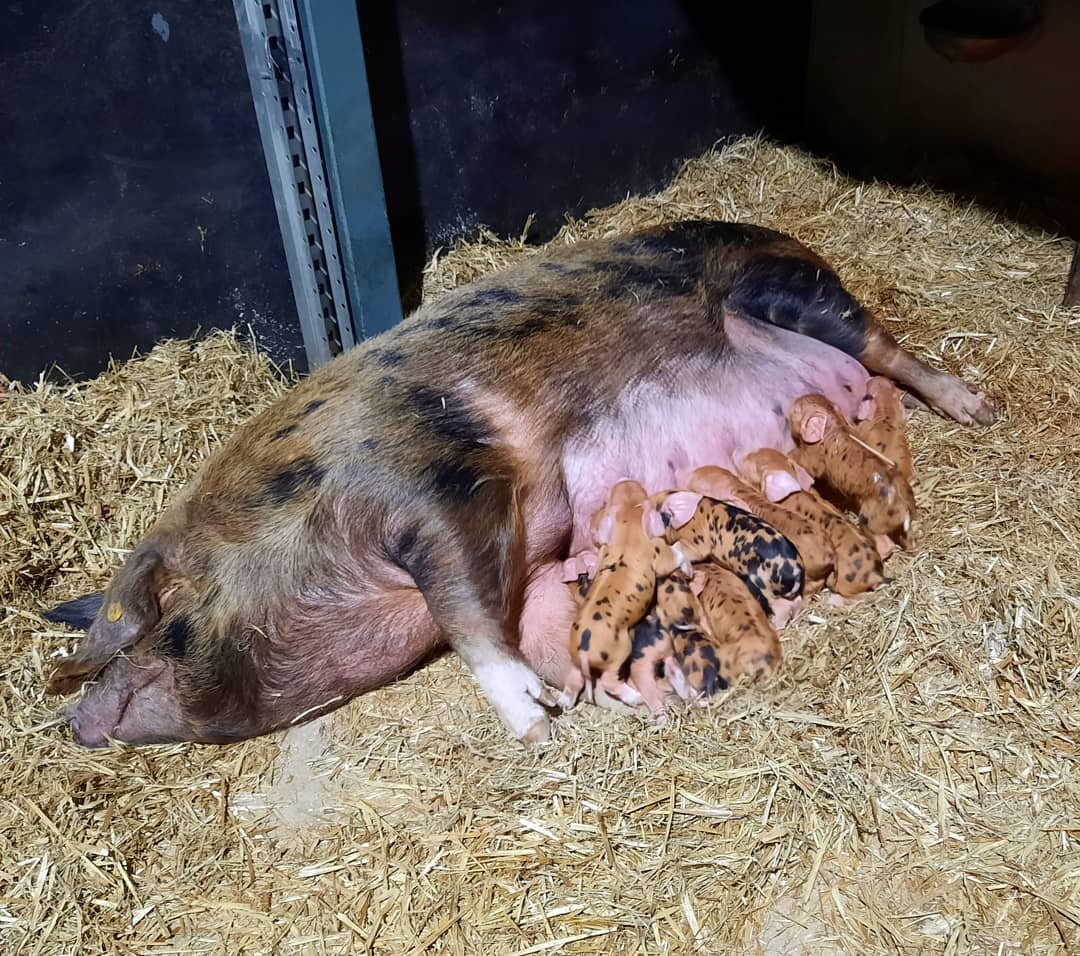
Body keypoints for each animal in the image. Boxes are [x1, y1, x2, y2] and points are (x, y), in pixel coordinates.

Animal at [560, 480, 690, 713]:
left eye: (609, 499)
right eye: (645, 496)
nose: (627, 481)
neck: (628, 527)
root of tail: (583, 654)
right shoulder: (657, 552)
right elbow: (674, 554)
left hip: (574, 662)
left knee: (573, 681)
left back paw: (563, 702)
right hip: (620, 652)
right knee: (609, 682)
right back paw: (636, 698)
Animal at [789, 394, 916, 548]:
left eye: (797, 410)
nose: (792, 404)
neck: (833, 424)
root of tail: (905, 508)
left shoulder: (813, 458)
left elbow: (805, 463)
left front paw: (788, 454)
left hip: (870, 518)